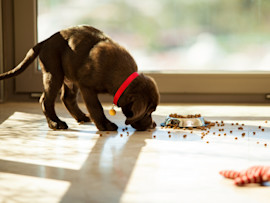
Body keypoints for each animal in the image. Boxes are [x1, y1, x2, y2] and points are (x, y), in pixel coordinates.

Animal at [0, 25, 159, 131]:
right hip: (54, 73)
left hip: (70, 77)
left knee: (67, 98)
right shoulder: (87, 86)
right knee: (45, 100)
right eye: (148, 112)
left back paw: (81, 117)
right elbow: (96, 107)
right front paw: (105, 125)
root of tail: (44, 41)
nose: (153, 125)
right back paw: (55, 123)